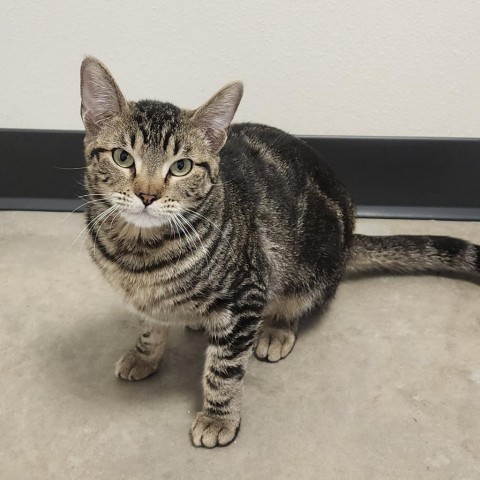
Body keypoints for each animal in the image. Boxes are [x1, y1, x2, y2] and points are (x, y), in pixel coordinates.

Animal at [79, 57, 480, 450]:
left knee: (298, 301)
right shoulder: (143, 300)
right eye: (122, 157)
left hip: (309, 266)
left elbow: (224, 370)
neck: (139, 254)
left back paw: (276, 330)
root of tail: (350, 234)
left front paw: (218, 417)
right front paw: (144, 355)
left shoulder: (247, 295)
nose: (147, 195)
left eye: (181, 166)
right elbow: (150, 327)